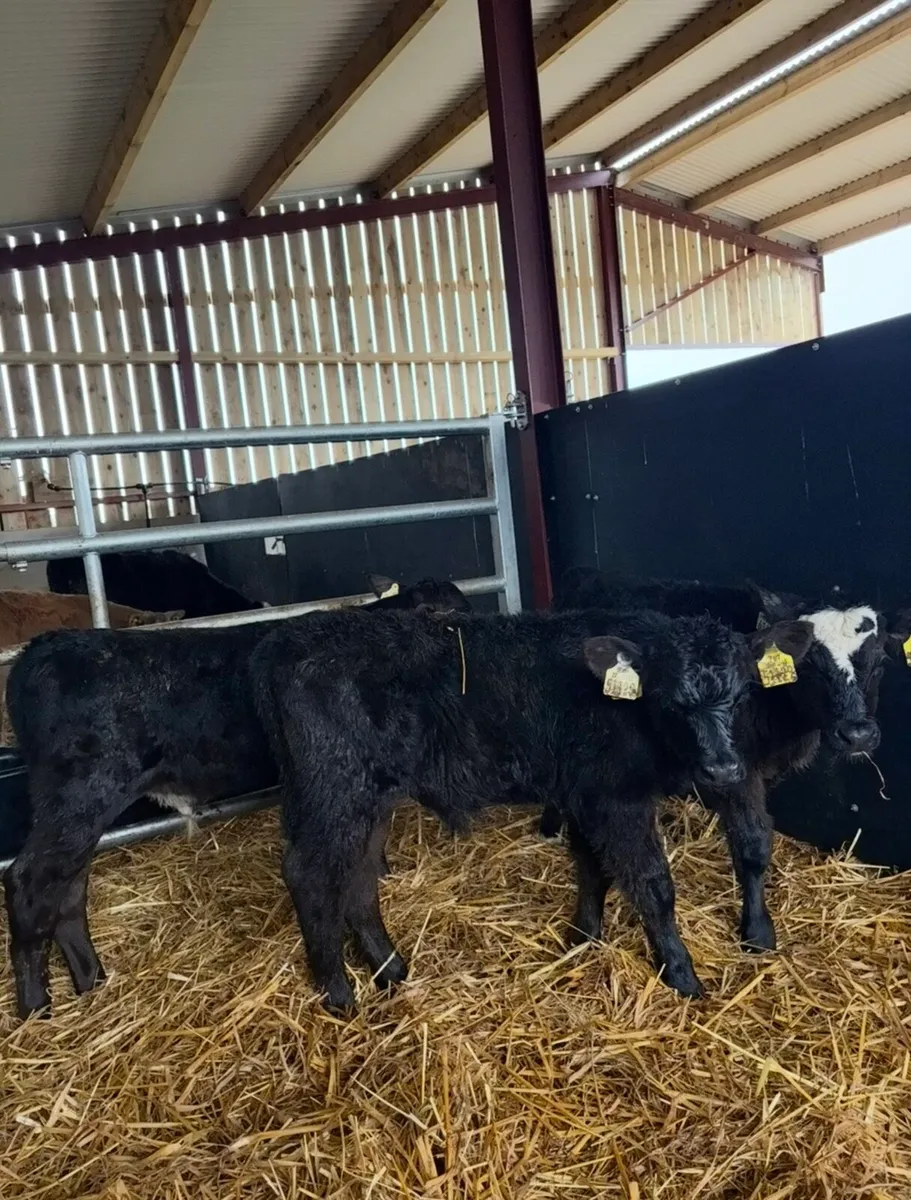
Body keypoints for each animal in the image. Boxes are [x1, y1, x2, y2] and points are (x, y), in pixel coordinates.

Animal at [3, 574, 470, 1019]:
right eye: (433, 616)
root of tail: (41, 650)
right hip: (82, 796)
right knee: (29, 881)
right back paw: (36, 1007)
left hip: (75, 810)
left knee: (67, 888)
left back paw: (91, 980)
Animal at [244, 605, 813, 1014]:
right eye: (672, 700)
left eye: (742, 695)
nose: (720, 767)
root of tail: (280, 642)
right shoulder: (617, 797)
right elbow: (653, 885)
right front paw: (680, 973)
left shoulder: (589, 790)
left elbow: (599, 866)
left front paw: (586, 937)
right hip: (332, 791)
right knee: (309, 875)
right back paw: (339, 995)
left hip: (371, 799)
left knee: (359, 879)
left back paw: (391, 970)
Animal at [541, 567, 903, 954]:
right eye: (810, 666)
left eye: (880, 664)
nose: (857, 734)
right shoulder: (735, 771)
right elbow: (752, 846)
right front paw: (758, 931)